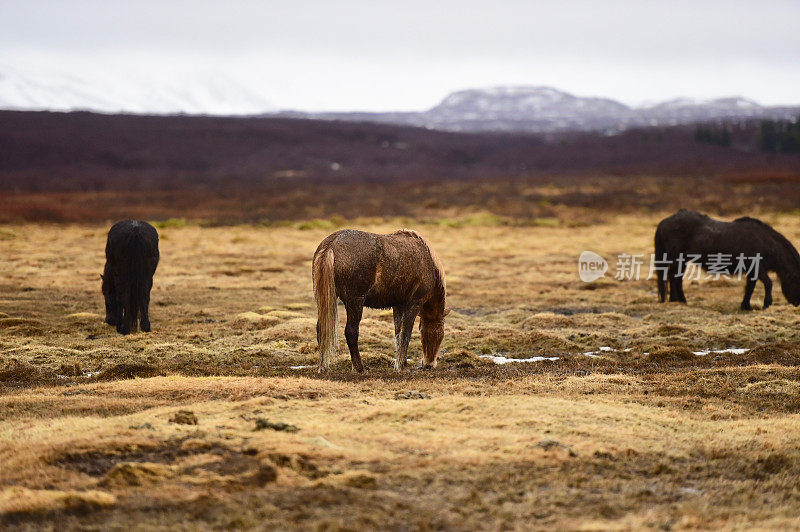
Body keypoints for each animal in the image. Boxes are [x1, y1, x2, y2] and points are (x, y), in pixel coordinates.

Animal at [312, 231, 450, 372]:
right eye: (439, 335)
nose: (429, 364)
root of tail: (331, 244)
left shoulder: (398, 305)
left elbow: (398, 334)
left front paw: (398, 365)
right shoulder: (413, 303)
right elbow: (406, 334)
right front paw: (402, 365)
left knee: (321, 329)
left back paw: (323, 366)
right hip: (355, 302)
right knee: (351, 332)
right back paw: (359, 367)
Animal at [656, 210, 800, 310]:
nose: (797, 303)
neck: (766, 243)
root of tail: (665, 221)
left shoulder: (752, 272)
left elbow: (750, 287)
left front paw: (746, 306)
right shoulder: (757, 268)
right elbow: (768, 283)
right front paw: (766, 304)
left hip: (682, 260)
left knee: (675, 277)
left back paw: (677, 300)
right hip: (677, 259)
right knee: (674, 278)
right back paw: (679, 300)